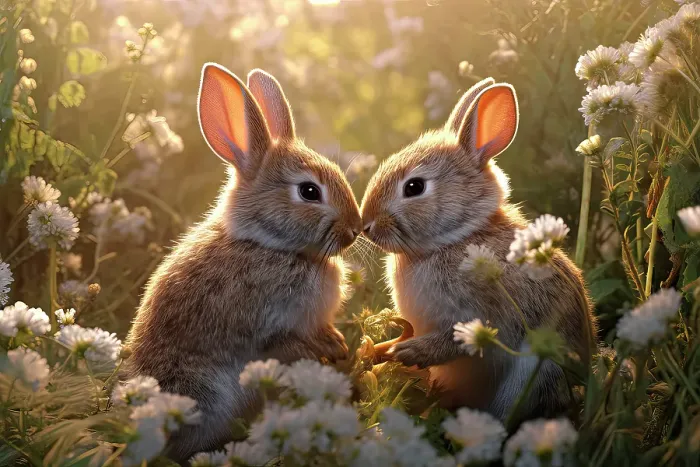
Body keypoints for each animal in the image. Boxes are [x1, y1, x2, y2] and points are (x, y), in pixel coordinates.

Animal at [124, 63, 363, 461]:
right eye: (309, 191)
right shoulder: (267, 327)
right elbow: (284, 343)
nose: (355, 230)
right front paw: (326, 351)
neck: (268, 244)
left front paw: (338, 343)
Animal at [360, 77, 598, 423]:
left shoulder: (484, 313)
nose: (366, 225)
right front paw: (377, 349)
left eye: (414, 187)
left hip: (534, 375)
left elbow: (462, 339)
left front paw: (407, 352)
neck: (454, 238)